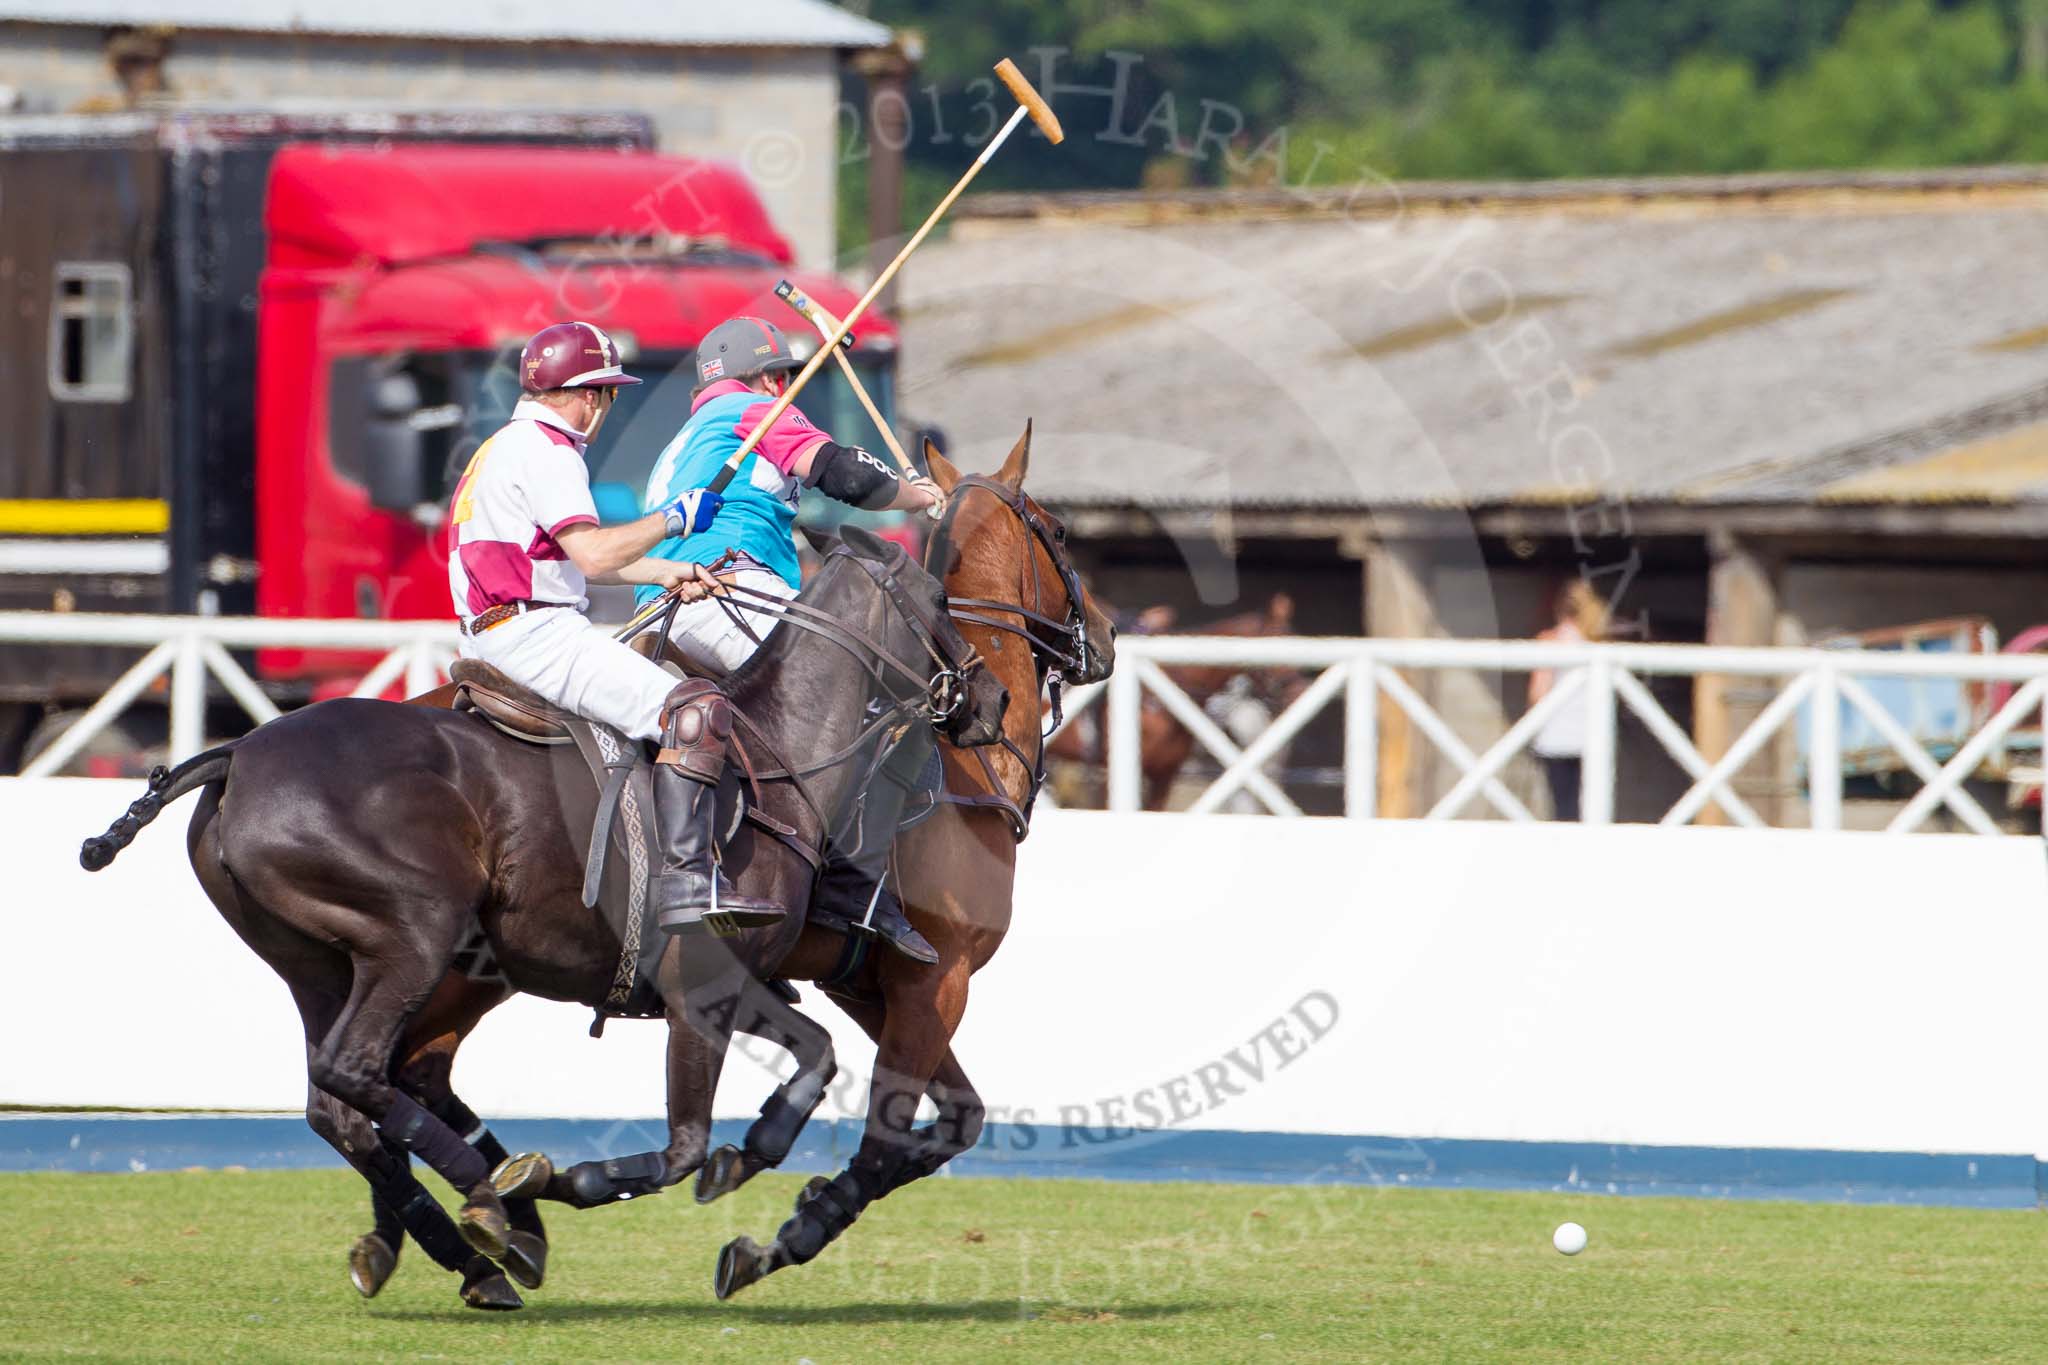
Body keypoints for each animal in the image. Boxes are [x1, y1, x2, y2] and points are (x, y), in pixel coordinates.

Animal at [75, 527, 1003, 1309]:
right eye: (938, 598)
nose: (990, 698)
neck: (779, 754)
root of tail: (237, 751)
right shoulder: (702, 984)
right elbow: (686, 1143)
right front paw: (576, 1180)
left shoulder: (758, 980)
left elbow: (811, 1061)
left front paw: (751, 1158)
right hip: (415, 933)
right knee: (357, 1071)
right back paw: (492, 1201)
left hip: (318, 963)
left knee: (340, 1100)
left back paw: (475, 1251)